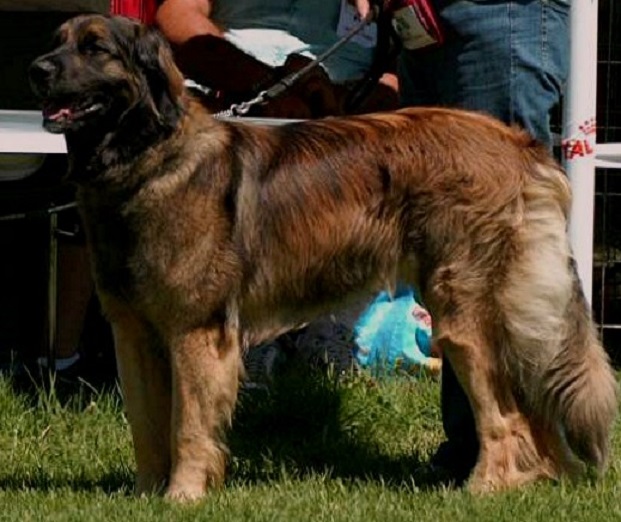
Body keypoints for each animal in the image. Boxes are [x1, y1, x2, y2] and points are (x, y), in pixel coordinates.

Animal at [27, 14, 616, 498]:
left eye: (95, 47)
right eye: (55, 41)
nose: (35, 69)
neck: (146, 154)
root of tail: (520, 147)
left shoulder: (196, 331)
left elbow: (188, 426)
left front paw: (183, 497)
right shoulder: (133, 332)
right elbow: (147, 427)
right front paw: (147, 496)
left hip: (465, 316)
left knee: (506, 415)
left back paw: (486, 489)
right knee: (531, 410)